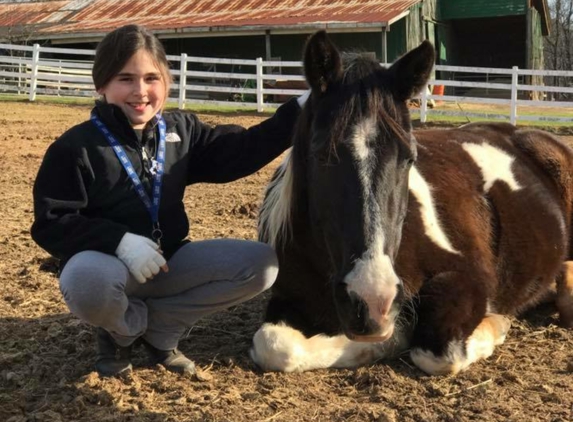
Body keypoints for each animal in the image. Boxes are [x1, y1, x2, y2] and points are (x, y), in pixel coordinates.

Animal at [249, 31, 572, 378]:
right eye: (322, 156)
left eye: (409, 158)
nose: (372, 300)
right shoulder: (289, 297)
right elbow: (275, 346)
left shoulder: (470, 278)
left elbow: (438, 351)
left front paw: (496, 323)